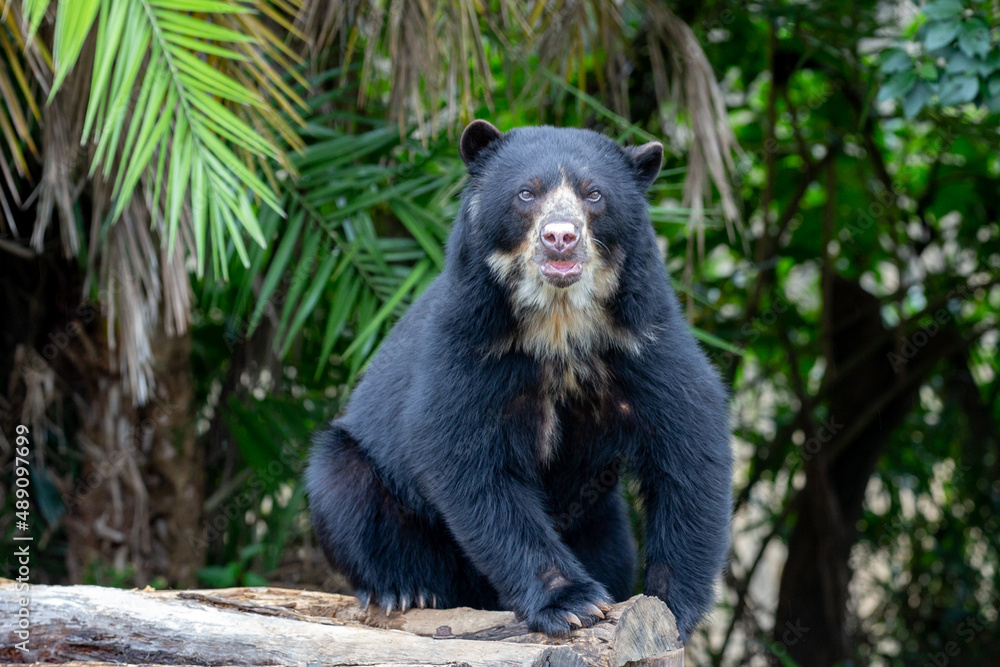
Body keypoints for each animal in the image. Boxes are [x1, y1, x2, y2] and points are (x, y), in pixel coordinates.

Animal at [306, 120, 733, 640]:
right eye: (527, 193)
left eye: (593, 194)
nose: (560, 237)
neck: (559, 321)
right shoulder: (473, 344)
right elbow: (470, 463)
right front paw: (572, 604)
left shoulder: (642, 340)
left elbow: (689, 442)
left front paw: (671, 606)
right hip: (358, 471)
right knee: (343, 487)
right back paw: (404, 589)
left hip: (599, 517)